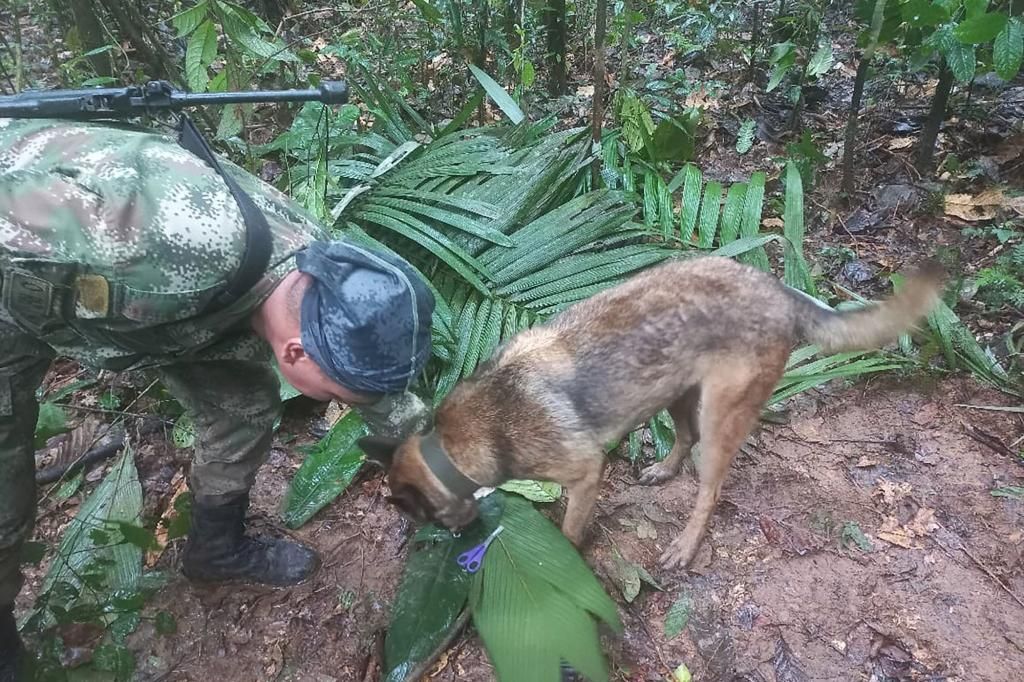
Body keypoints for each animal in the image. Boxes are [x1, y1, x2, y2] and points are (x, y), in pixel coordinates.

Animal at [362, 254, 942, 569]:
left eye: (421, 517)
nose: (458, 541)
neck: (453, 446)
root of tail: (778, 289)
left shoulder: (584, 472)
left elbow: (569, 529)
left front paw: (567, 556)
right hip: (676, 393)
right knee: (683, 439)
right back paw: (663, 470)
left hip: (719, 415)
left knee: (709, 489)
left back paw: (685, 544)